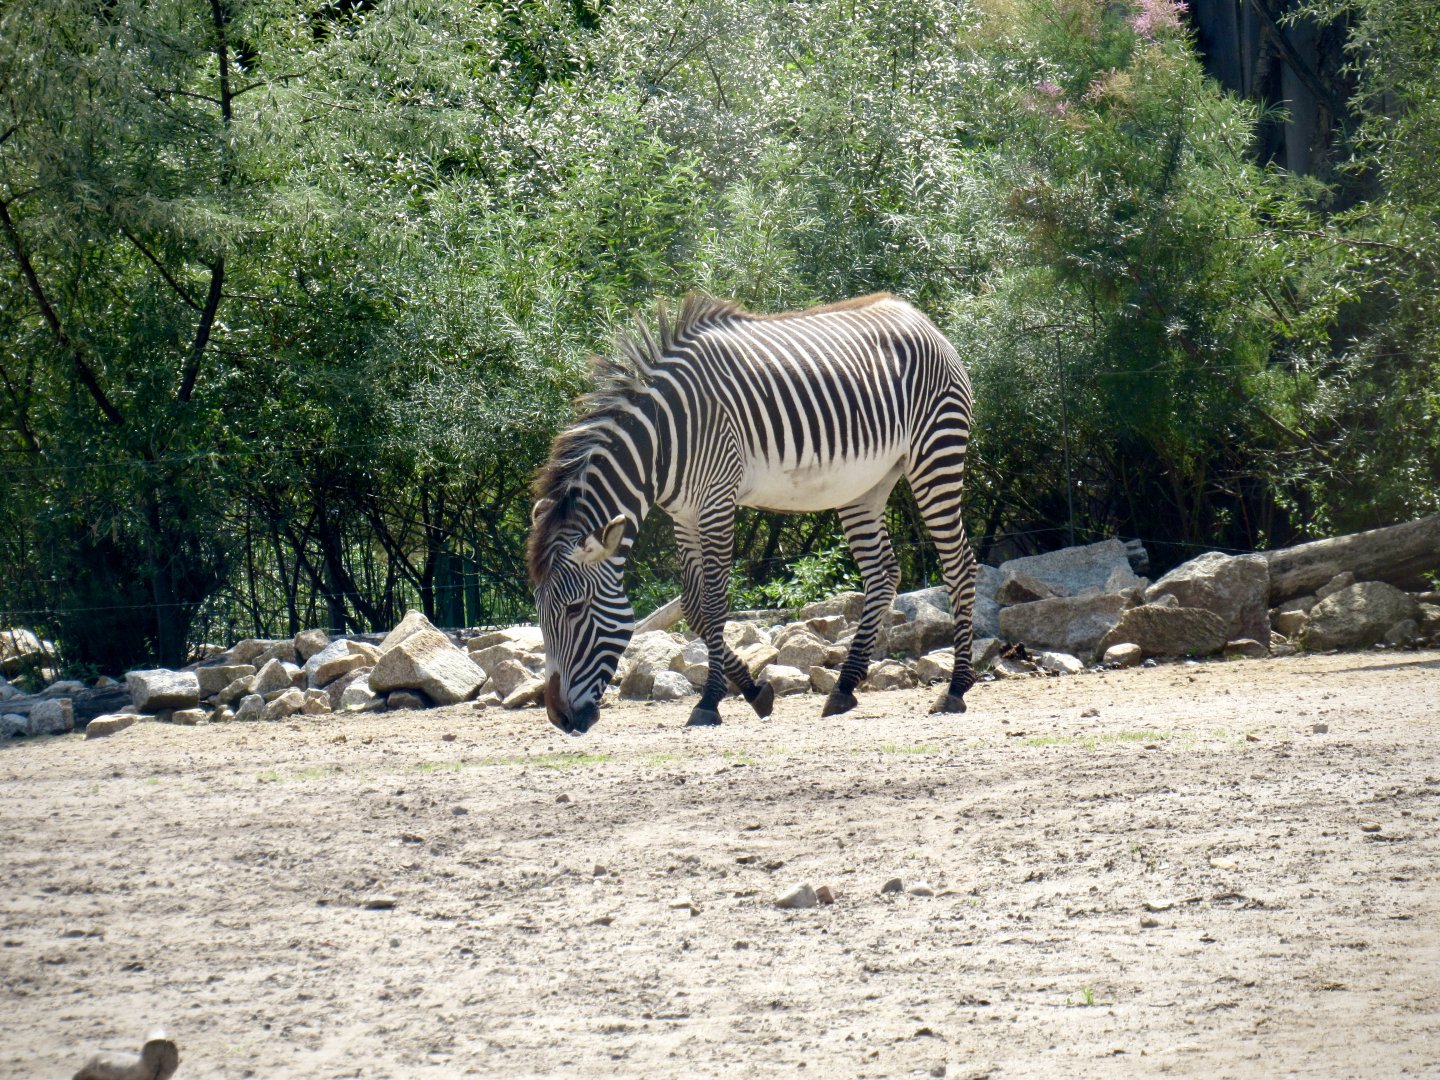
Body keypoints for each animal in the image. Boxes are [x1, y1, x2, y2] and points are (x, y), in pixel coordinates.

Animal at [528, 292, 977, 735]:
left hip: (936, 452)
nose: (560, 719)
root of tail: (917, 315)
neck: (662, 443)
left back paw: (955, 689)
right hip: (866, 484)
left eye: (574, 609)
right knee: (882, 574)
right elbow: (693, 608)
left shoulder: (716, 502)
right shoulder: (684, 515)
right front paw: (754, 691)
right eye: (540, 613)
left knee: (959, 565)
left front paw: (709, 702)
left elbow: (713, 605)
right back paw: (844, 687)